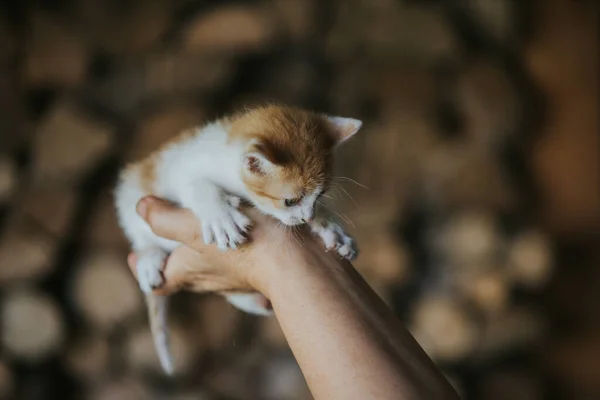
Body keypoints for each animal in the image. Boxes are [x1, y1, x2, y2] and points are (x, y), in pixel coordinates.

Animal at [115, 104, 364, 376]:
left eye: (320, 195)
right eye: (290, 201)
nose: (305, 218)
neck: (233, 174)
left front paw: (330, 227)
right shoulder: (183, 169)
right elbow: (198, 185)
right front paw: (221, 215)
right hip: (130, 199)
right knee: (140, 237)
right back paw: (149, 258)